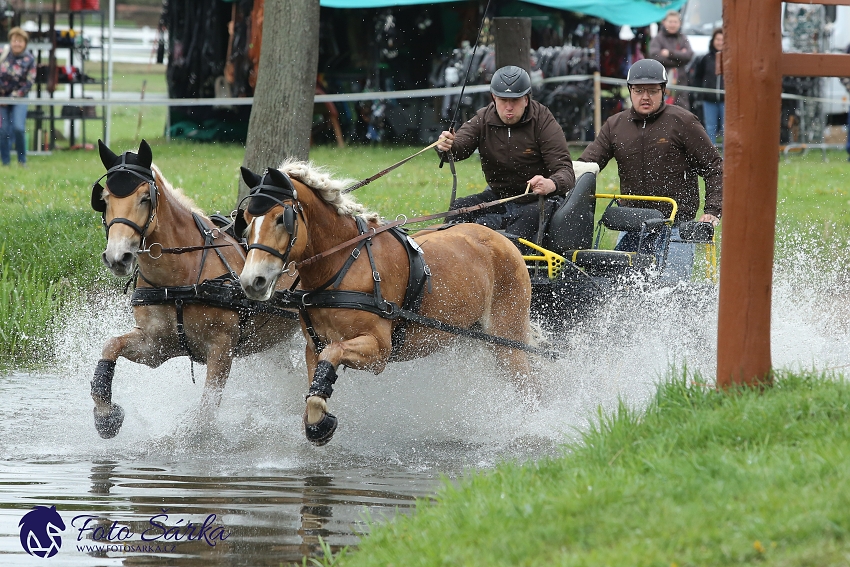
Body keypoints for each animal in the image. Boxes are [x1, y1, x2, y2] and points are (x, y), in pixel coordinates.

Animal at [89, 141, 300, 440]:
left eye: (144, 198)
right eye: (104, 199)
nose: (118, 257)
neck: (181, 277)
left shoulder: (222, 348)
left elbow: (207, 410)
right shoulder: (156, 346)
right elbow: (110, 345)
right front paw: (106, 415)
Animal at [235, 162, 532, 446]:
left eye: (280, 218)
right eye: (246, 220)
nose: (252, 281)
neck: (345, 262)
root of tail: (503, 239)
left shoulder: (379, 351)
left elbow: (333, 352)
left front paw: (320, 417)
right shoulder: (313, 346)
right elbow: (316, 381)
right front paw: (317, 421)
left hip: (508, 342)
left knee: (529, 384)